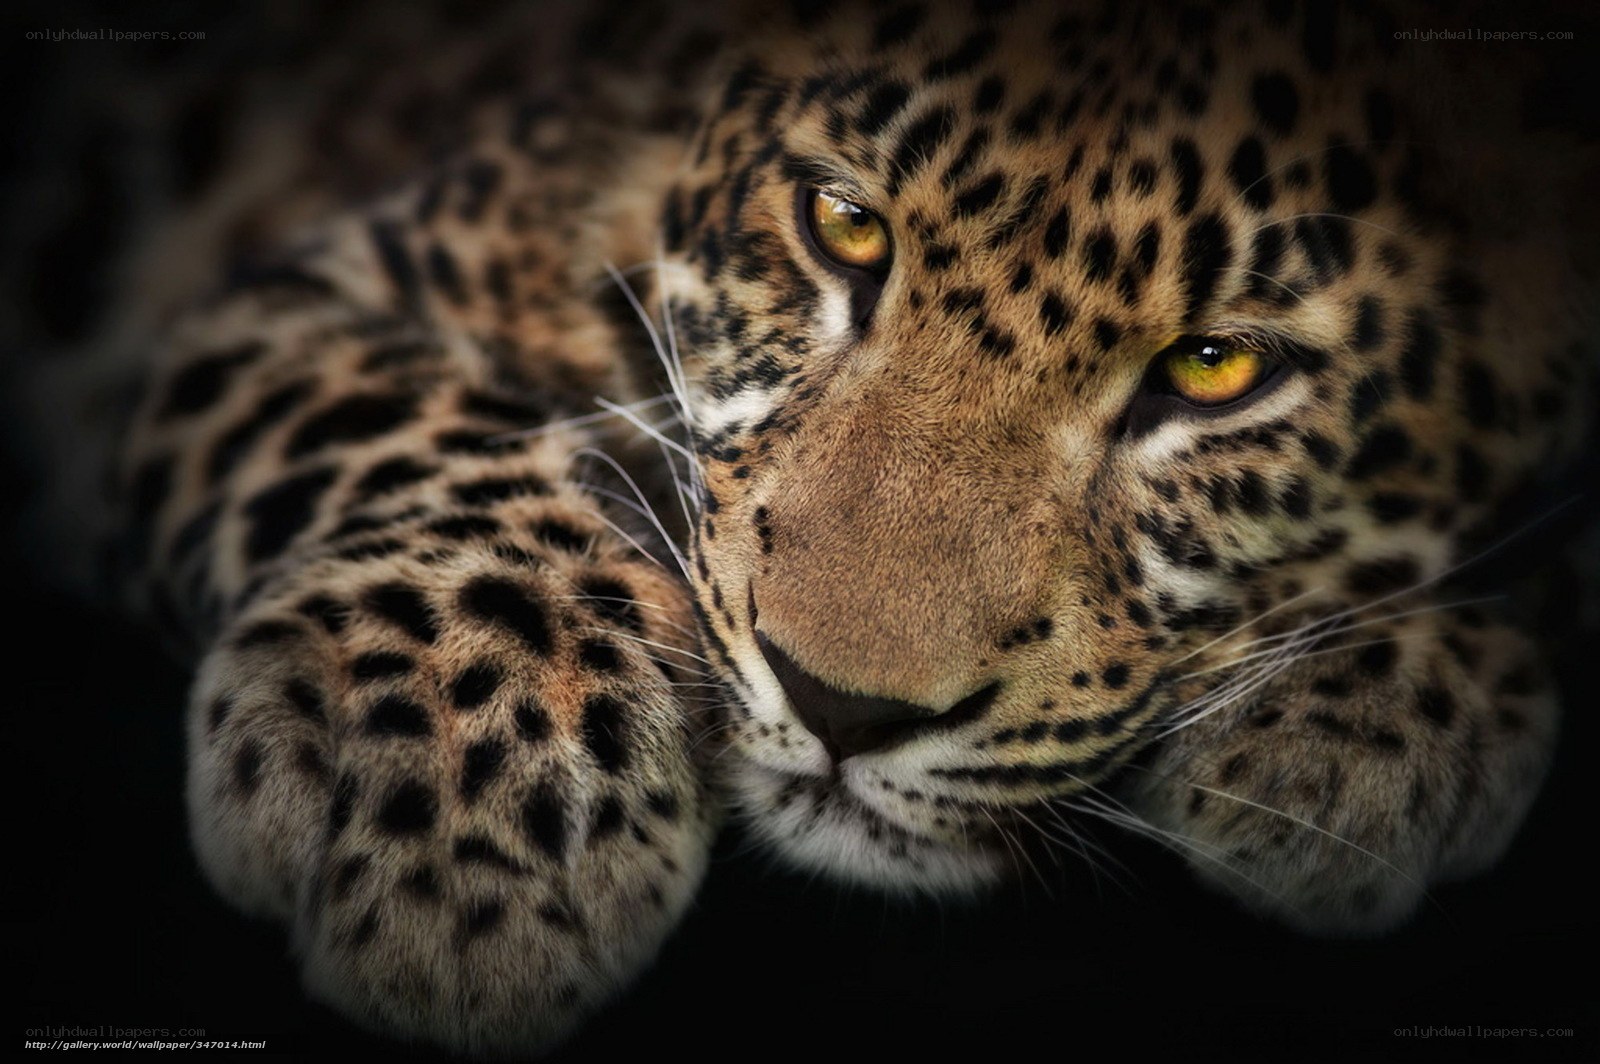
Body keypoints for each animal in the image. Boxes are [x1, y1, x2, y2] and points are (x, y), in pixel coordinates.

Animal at [7, 0, 1596, 1056]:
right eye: (842, 226)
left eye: (1216, 367)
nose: (842, 709)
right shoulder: (288, 299)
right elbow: (405, 418)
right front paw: (469, 816)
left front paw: (1373, 718)